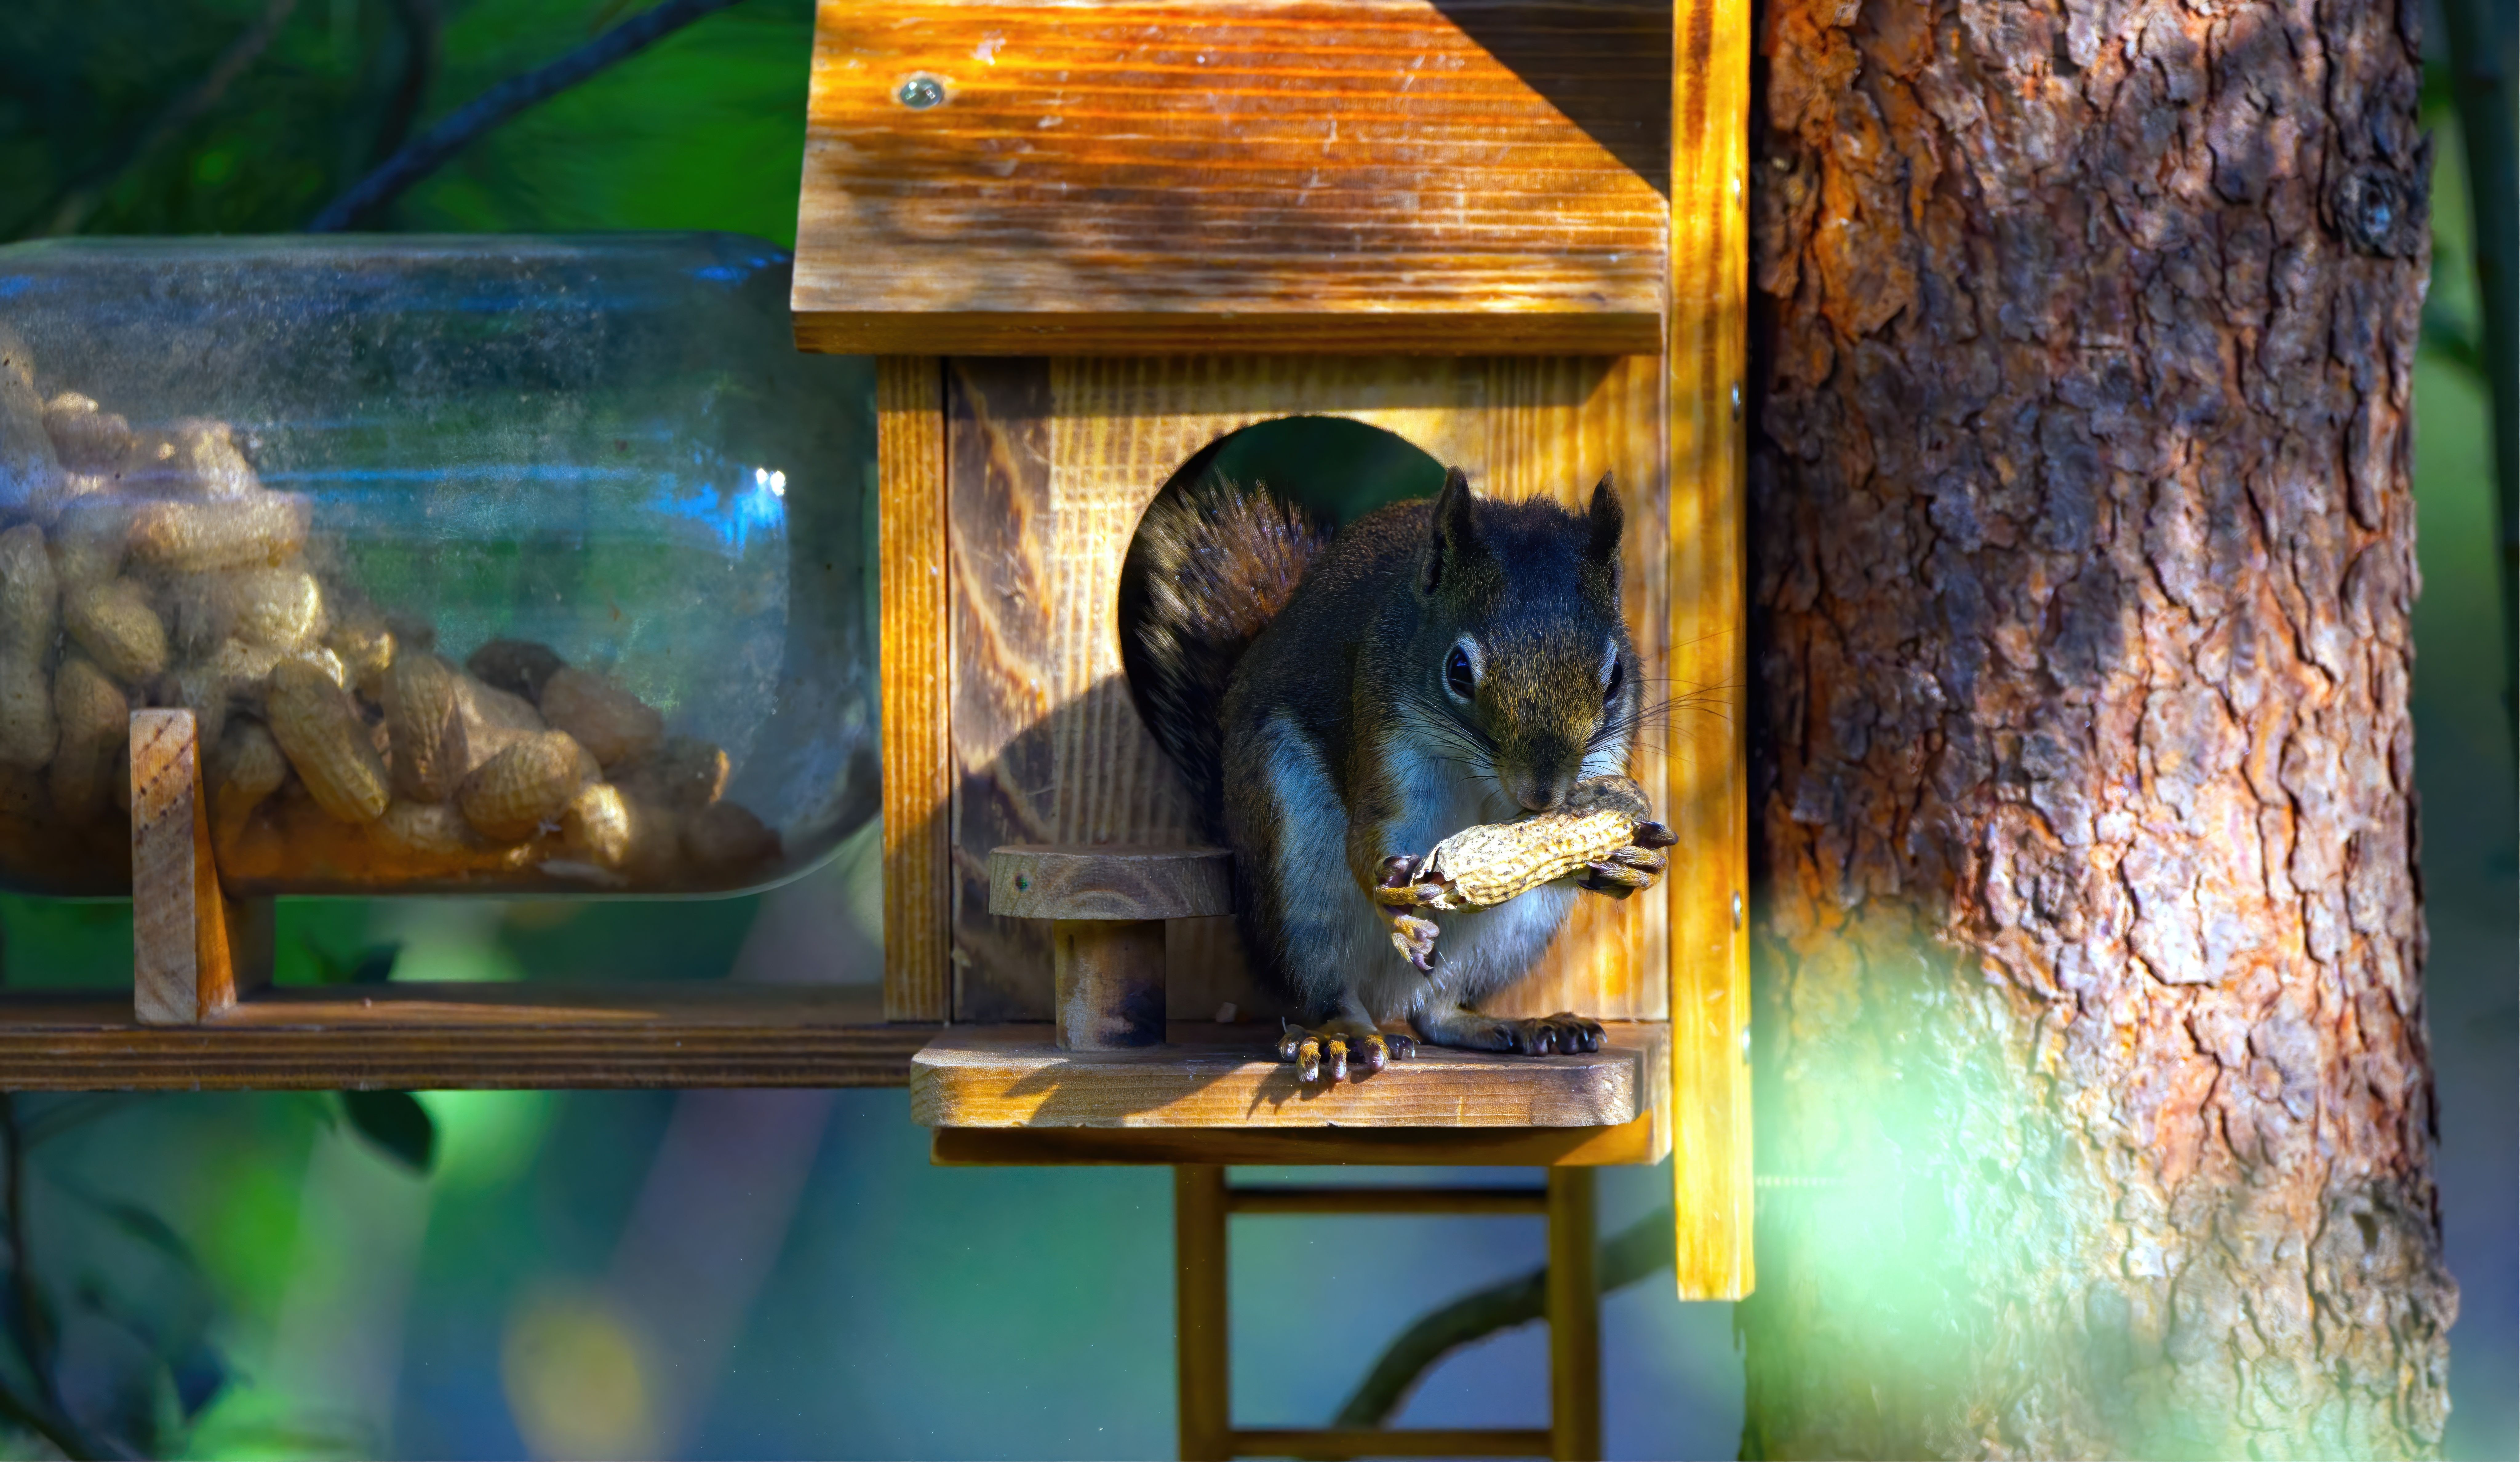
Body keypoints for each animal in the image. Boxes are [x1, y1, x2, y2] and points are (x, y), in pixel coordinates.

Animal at [1118, 464, 1673, 1083]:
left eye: (1616, 676)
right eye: (1458, 669)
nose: (1541, 795)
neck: (1482, 776)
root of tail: (1391, 998)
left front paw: (1636, 862)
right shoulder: (1386, 734)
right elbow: (1372, 834)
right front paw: (1393, 899)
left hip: (1513, 935)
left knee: (1438, 1010)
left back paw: (1522, 1026)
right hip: (1298, 888)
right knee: (1331, 989)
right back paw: (1343, 1035)